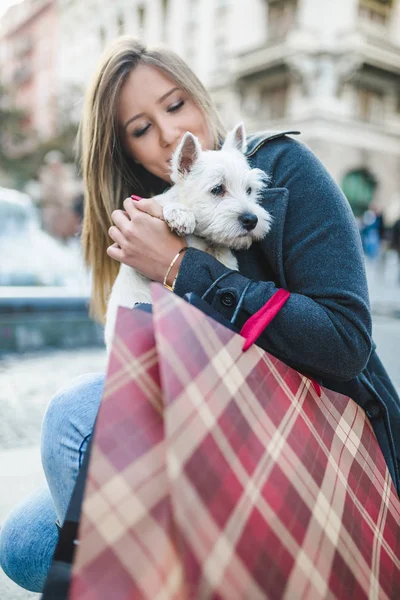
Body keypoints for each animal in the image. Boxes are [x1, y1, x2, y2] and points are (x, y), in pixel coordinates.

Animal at [104, 123, 272, 352]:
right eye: (217, 189)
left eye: (249, 190)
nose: (251, 220)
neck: (202, 238)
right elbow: (165, 205)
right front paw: (180, 214)